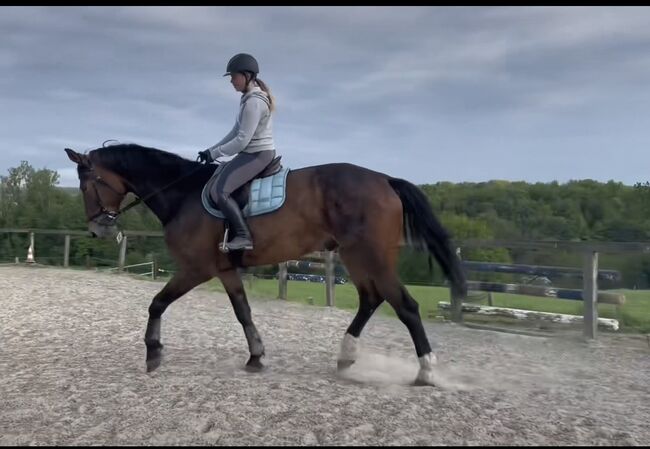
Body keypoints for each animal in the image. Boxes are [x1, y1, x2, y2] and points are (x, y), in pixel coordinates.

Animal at [63, 144, 464, 384]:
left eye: (85, 185)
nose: (97, 229)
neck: (182, 193)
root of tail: (384, 179)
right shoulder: (225, 270)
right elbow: (243, 312)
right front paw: (256, 357)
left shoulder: (196, 269)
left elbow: (157, 303)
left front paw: (153, 352)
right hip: (356, 256)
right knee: (371, 299)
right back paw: (346, 357)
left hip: (370, 256)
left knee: (405, 305)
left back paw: (426, 371)